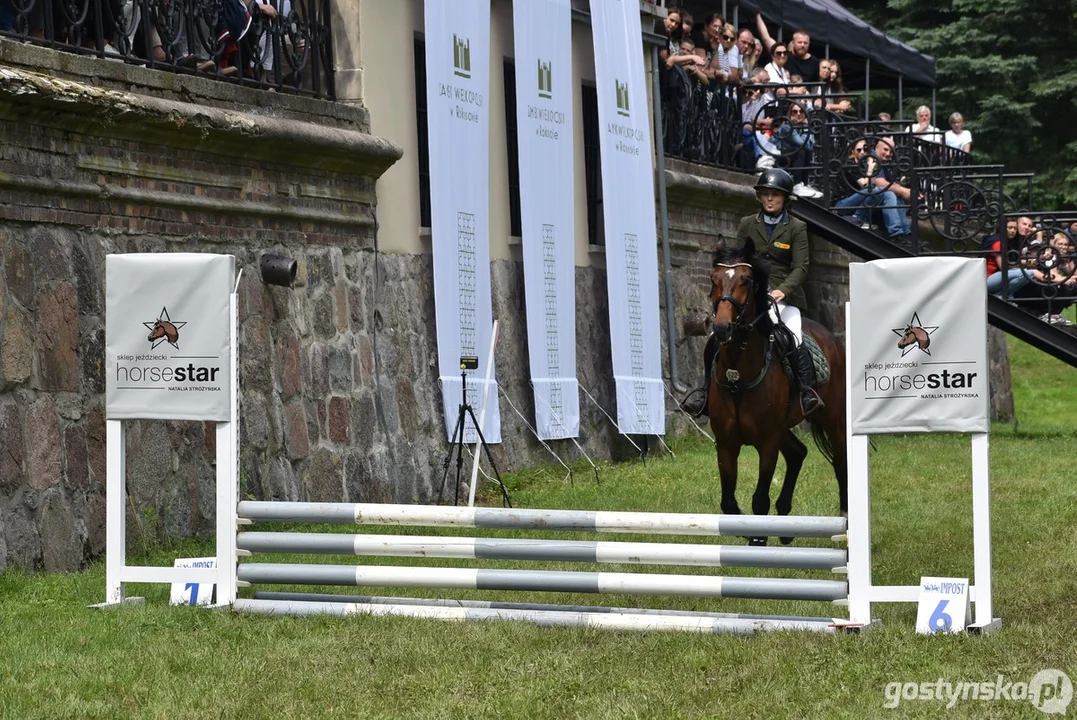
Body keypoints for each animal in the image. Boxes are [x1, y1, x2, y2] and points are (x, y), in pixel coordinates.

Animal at [706, 236, 848, 544]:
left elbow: (759, 500)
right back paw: (785, 525)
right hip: (784, 427)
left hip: (833, 419)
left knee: (840, 461)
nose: (721, 328)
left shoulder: (767, 442)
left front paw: (758, 538)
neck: (737, 373)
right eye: (714, 279)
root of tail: (830, 337)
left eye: (746, 280)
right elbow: (728, 503)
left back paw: (844, 521)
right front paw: (747, 532)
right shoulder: (726, 443)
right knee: (798, 454)